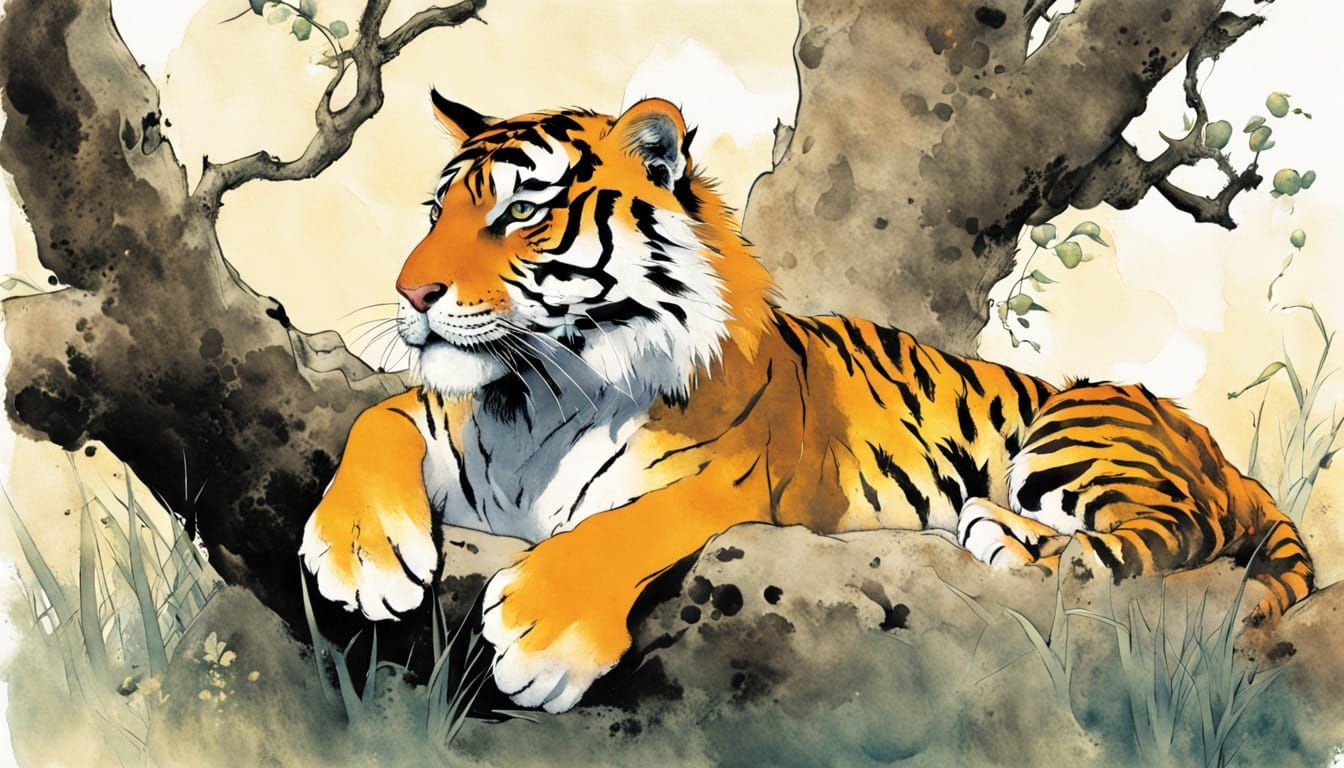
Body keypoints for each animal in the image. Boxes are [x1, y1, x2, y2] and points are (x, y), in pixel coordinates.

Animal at [300, 90, 1314, 714]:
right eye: (435, 213)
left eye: (519, 213)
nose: (409, 292)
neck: (536, 398)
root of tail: (1218, 454)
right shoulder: (443, 429)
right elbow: (379, 417)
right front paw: (359, 554)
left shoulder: (733, 481)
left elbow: (631, 525)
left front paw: (543, 635)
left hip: (1079, 426)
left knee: (1165, 535)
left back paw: (1005, 533)